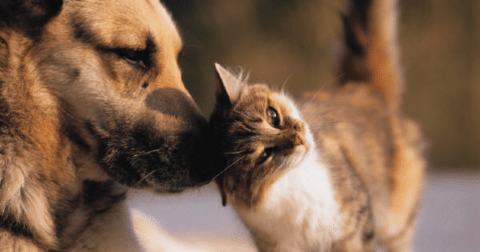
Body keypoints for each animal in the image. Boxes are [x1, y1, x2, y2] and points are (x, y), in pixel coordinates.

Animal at [208, 0, 426, 250]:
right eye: (264, 156)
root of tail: (363, 89)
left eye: (273, 116)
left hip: (394, 223)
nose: (299, 139)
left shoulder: (356, 228)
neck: (293, 184)